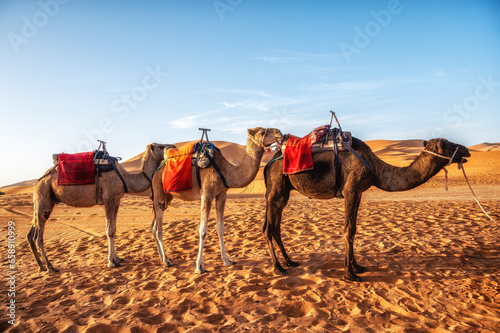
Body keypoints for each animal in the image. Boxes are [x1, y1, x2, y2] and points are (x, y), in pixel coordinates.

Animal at [28, 141, 175, 272]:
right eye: (161, 146)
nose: (173, 146)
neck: (125, 178)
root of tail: (39, 181)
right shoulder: (109, 199)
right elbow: (109, 231)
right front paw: (111, 262)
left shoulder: (116, 201)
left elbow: (113, 229)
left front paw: (117, 258)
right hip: (43, 196)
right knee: (38, 237)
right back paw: (50, 267)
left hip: (46, 199)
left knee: (31, 234)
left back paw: (41, 266)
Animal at [150, 127, 284, 272]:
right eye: (262, 131)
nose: (279, 133)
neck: (226, 171)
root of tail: (155, 171)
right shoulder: (207, 194)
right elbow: (203, 231)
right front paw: (199, 266)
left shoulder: (221, 195)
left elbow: (221, 228)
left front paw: (227, 260)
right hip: (158, 194)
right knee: (159, 229)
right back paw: (166, 261)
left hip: (167, 198)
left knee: (154, 227)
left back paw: (163, 258)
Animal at [264, 137, 470, 280]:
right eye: (446, 143)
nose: (466, 150)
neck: (375, 167)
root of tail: (268, 164)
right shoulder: (351, 190)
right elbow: (347, 230)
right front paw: (349, 274)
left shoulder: (359, 193)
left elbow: (353, 229)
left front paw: (356, 267)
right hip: (276, 189)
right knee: (267, 229)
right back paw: (278, 267)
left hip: (283, 194)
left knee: (275, 228)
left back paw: (290, 262)